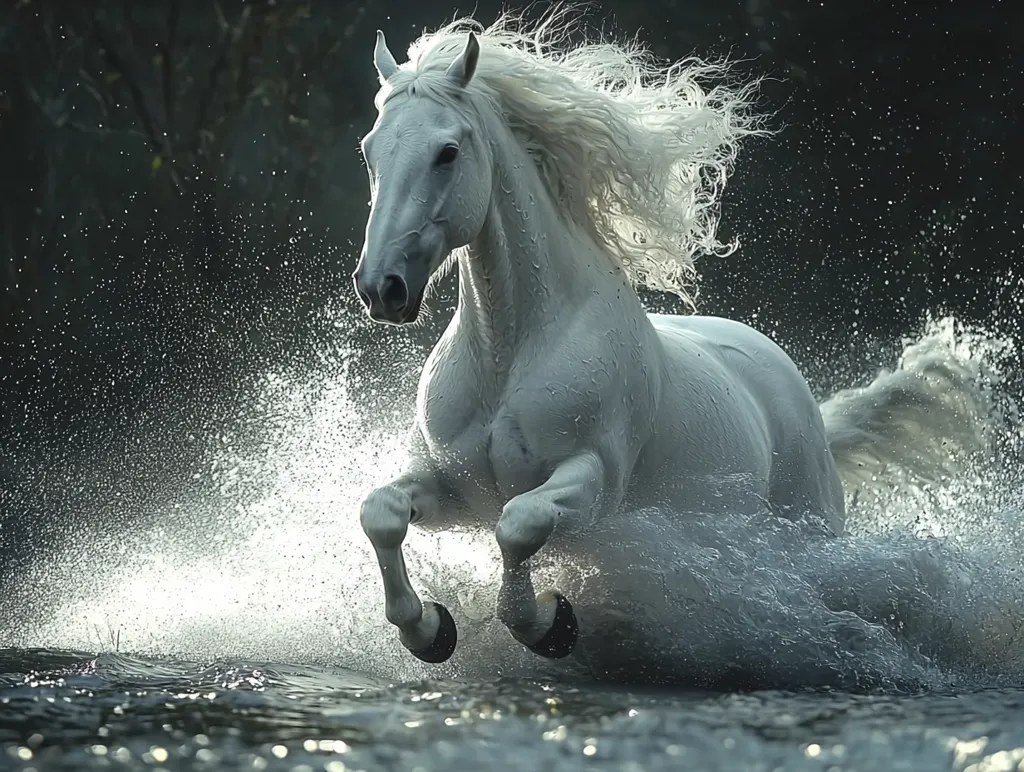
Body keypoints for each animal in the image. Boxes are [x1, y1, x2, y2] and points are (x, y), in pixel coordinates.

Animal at [351, 12, 987, 665]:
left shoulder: (594, 482)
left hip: (805, 537)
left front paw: (550, 624)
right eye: (370, 149)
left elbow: (519, 523)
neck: (512, 353)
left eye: (447, 152)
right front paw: (430, 628)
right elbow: (381, 513)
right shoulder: (450, 484)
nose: (382, 288)